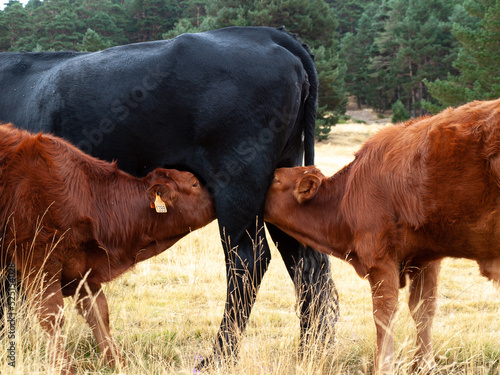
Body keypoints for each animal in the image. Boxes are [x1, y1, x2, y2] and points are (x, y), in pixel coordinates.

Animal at [0, 125, 215, 374]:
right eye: (194, 184)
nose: (217, 199)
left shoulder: (85, 268)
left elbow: (99, 315)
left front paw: (116, 362)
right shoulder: (39, 261)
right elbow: (51, 315)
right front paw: (63, 366)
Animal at [266, 100, 500, 375]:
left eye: (275, 178)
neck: (349, 194)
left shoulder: (380, 259)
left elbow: (384, 314)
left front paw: (383, 366)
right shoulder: (426, 257)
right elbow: (423, 309)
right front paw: (424, 365)